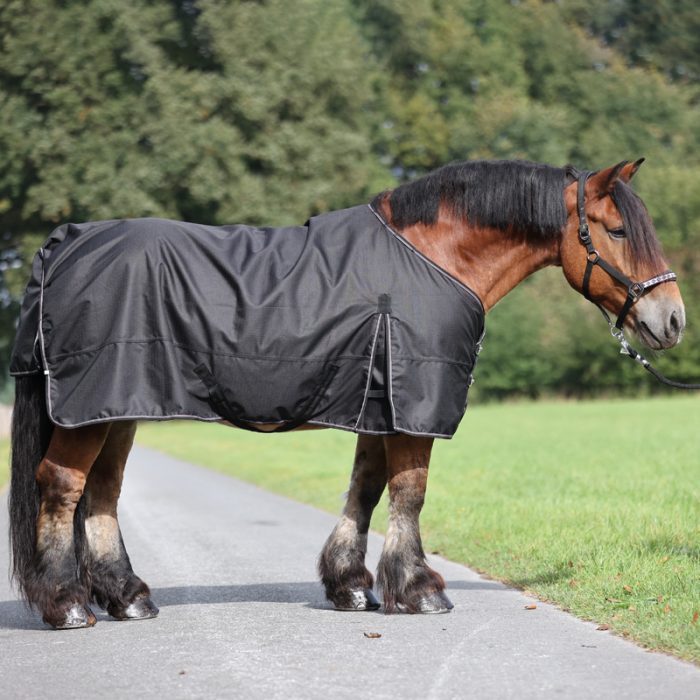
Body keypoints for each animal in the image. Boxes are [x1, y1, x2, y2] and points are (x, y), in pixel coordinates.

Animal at [8, 158, 685, 629]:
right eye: (617, 230)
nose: (673, 319)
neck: (434, 258)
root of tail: (66, 244)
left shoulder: (376, 404)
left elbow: (367, 486)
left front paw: (352, 585)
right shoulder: (413, 406)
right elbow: (409, 492)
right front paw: (420, 588)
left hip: (118, 407)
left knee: (101, 493)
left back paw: (128, 597)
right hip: (91, 409)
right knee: (62, 487)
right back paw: (68, 604)